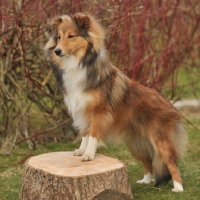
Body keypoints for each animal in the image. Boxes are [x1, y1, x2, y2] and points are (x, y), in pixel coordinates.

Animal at [45, 12, 188, 192]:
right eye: (58, 37)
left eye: (71, 36)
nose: (57, 51)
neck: (78, 63)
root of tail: (170, 105)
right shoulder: (81, 109)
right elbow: (84, 133)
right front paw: (81, 150)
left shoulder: (99, 112)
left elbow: (93, 135)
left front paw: (88, 155)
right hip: (137, 145)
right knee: (148, 163)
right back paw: (145, 180)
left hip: (160, 142)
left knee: (172, 163)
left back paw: (178, 188)